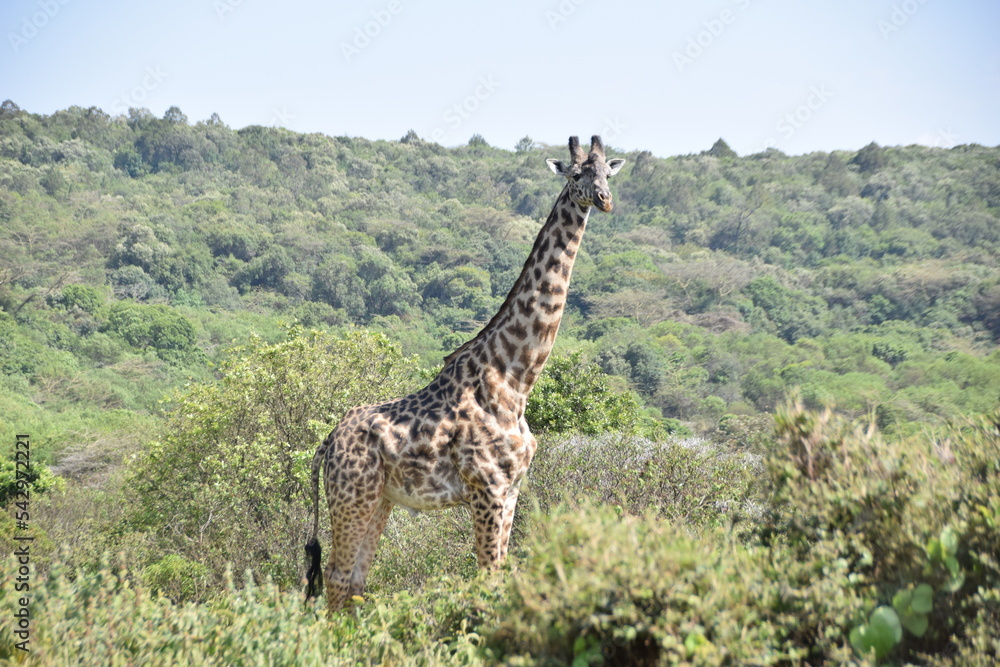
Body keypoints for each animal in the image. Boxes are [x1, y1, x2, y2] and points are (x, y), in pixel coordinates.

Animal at [305, 135, 625, 613]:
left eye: (606, 171)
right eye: (574, 175)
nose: (603, 199)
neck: (515, 378)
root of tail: (326, 443)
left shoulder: (511, 489)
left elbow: (501, 573)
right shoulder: (486, 486)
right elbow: (488, 576)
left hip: (380, 499)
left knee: (355, 580)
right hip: (351, 496)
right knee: (337, 578)